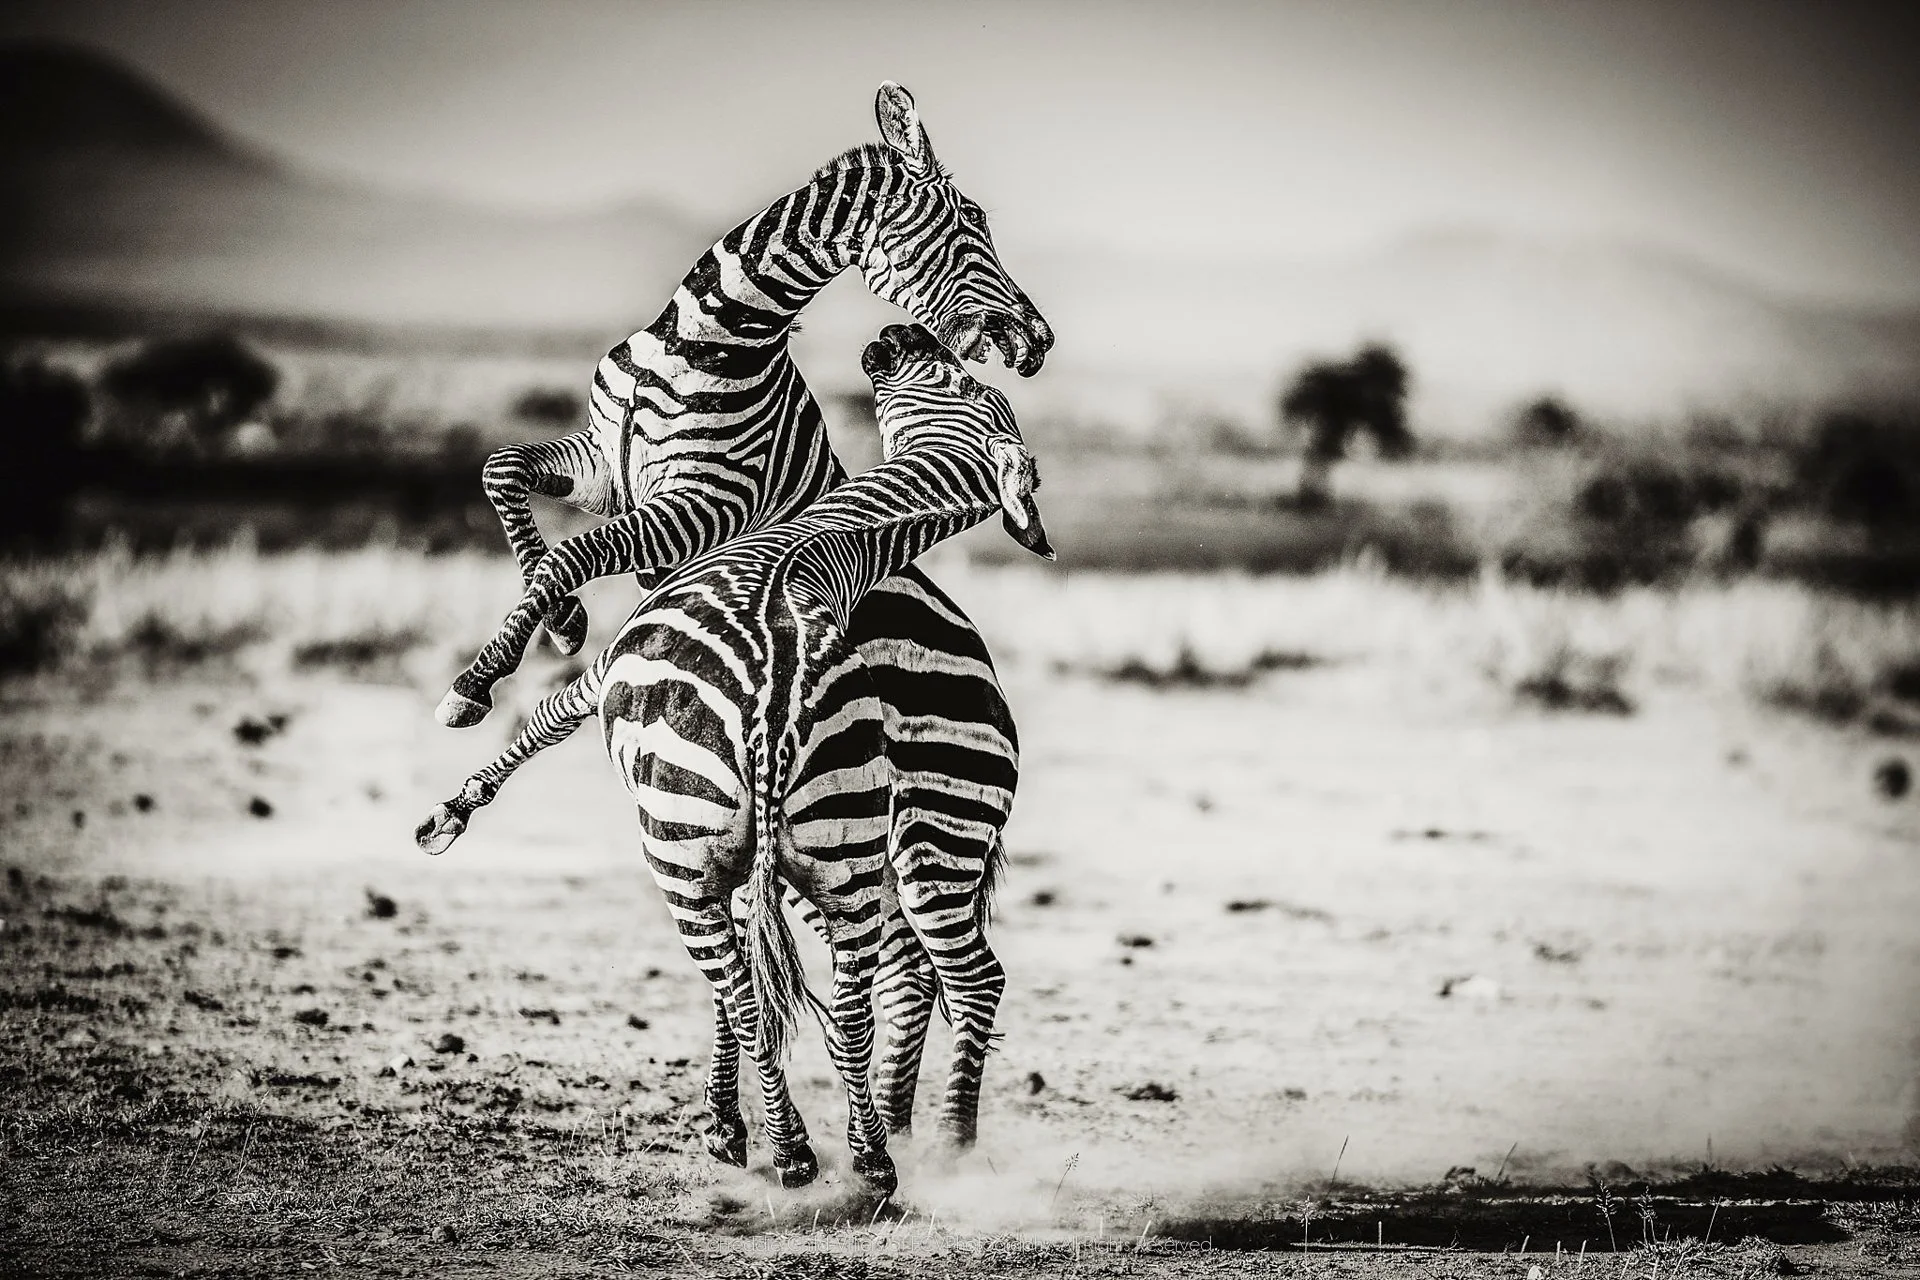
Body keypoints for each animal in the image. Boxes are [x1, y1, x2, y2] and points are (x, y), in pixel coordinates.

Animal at [421, 324, 1051, 1192]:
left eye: (959, 379)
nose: (897, 334)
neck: (822, 540)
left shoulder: (611, 670)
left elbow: (546, 716)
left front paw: (459, 774)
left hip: (732, 854)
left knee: (858, 985)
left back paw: (860, 1147)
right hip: (860, 859)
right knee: (884, 986)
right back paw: (881, 1144)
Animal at [436, 79, 1050, 727]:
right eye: (974, 219)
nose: (1041, 341)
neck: (699, 340)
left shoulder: (711, 503)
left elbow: (574, 554)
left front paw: (475, 683)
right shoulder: (606, 466)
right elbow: (502, 470)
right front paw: (563, 620)